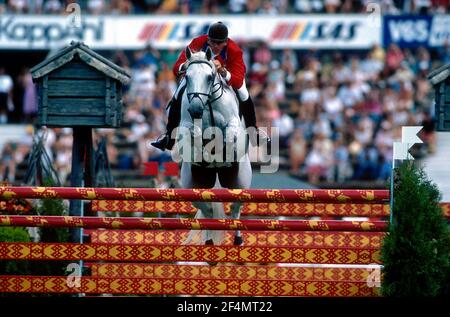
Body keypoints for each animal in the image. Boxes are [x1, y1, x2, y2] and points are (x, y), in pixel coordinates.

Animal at [171, 47, 251, 246]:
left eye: (209, 77)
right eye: (187, 76)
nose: (195, 110)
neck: (208, 104)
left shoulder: (233, 125)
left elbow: (229, 136)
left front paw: (221, 155)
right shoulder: (186, 125)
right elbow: (194, 133)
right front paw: (204, 154)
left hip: (239, 182)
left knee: (235, 208)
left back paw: (238, 240)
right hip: (192, 186)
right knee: (207, 211)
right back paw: (208, 243)